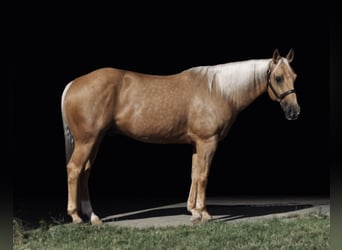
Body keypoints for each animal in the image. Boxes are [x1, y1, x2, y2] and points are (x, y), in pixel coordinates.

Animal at [60, 48, 300, 225]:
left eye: (294, 77)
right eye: (278, 78)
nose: (294, 112)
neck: (218, 90)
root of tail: (72, 84)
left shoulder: (196, 143)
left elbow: (194, 174)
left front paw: (193, 211)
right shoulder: (207, 142)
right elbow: (203, 176)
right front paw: (204, 214)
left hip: (94, 141)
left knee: (85, 172)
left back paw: (93, 217)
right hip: (87, 141)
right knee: (74, 170)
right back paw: (76, 217)